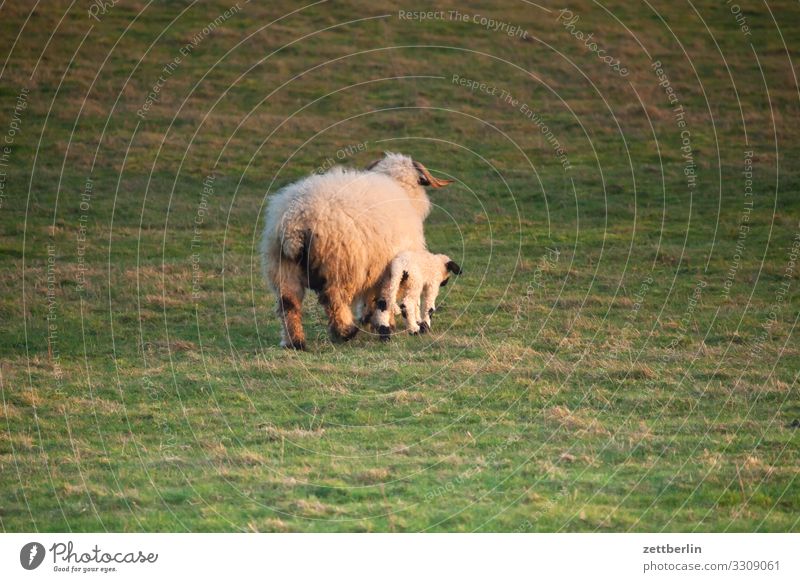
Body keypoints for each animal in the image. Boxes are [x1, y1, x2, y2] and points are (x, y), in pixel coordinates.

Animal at [260, 153, 454, 350]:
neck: (400, 187)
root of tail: (296, 223)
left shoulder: (375, 267)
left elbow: (371, 297)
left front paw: (369, 318)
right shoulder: (390, 269)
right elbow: (385, 297)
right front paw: (385, 324)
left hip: (282, 266)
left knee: (288, 303)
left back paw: (294, 342)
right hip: (338, 267)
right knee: (334, 300)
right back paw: (346, 332)